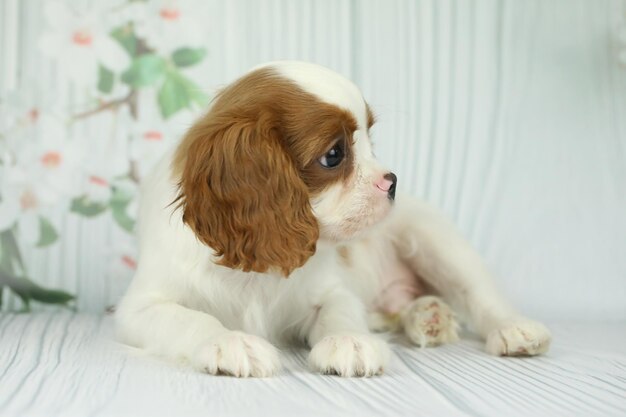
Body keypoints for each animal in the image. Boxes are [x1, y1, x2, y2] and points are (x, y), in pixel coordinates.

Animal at [114, 61, 548, 376]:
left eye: (370, 140)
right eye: (334, 155)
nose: (392, 182)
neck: (253, 271)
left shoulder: (331, 290)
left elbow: (341, 311)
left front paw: (349, 341)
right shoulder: (139, 309)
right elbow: (191, 319)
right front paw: (230, 342)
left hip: (435, 239)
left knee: (479, 294)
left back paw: (508, 327)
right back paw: (428, 317)